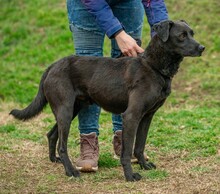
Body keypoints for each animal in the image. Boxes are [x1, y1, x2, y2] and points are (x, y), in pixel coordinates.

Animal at [9, 20, 205, 181]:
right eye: (181, 36)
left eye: (192, 33)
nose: (202, 47)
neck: (153, 66)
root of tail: (53, 65)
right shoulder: (131, 116)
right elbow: (127, 151)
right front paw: (130, 175)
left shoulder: (147, 117)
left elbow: (139, 146)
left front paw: (144, 165)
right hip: (65, 110)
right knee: (62, 146)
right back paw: (71, 171)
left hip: (71, 109)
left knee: (51, 135)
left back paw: (55, 161)